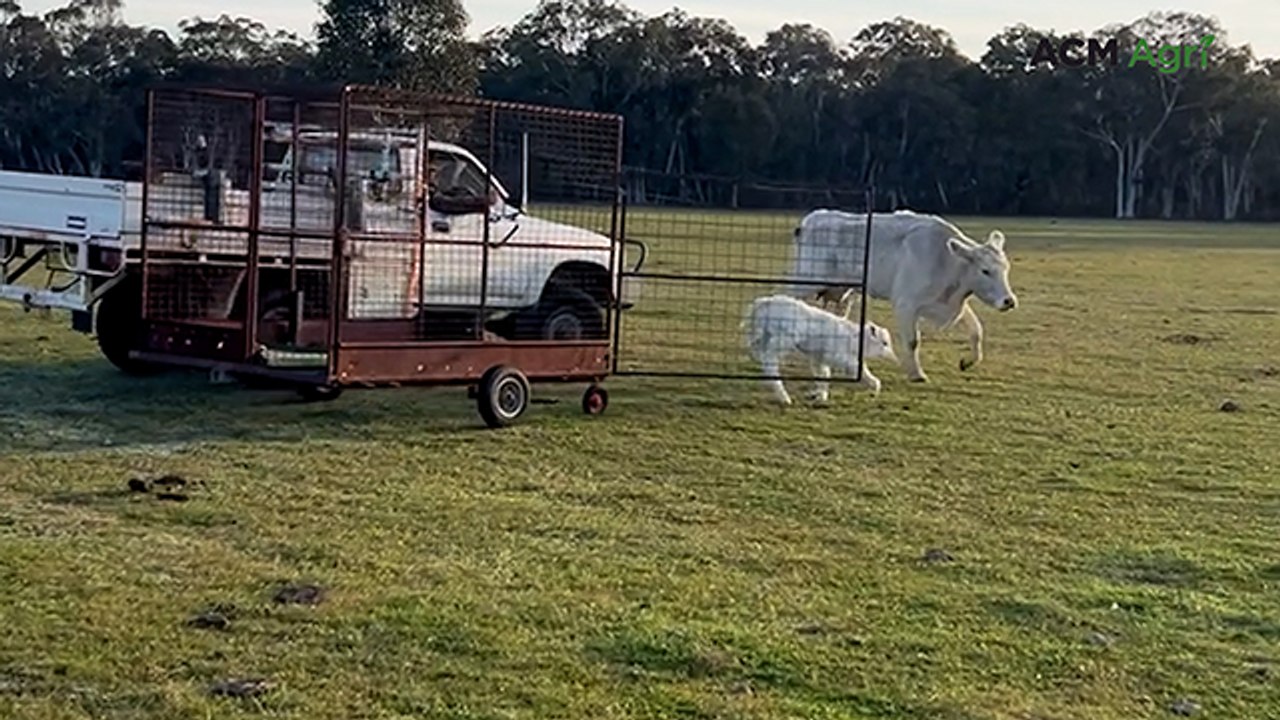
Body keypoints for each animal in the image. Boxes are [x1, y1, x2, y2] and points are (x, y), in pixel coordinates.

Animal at [783, 209, 1018, 383]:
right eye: (985, 271)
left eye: (1006, 268)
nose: (1009, 301)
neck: (946, 260)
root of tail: (807, 223)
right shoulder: (907, 305)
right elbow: (913, 341)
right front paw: (916, 374)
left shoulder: (949, 303)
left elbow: (976, 330)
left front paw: (969, 361)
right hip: (805, 282)